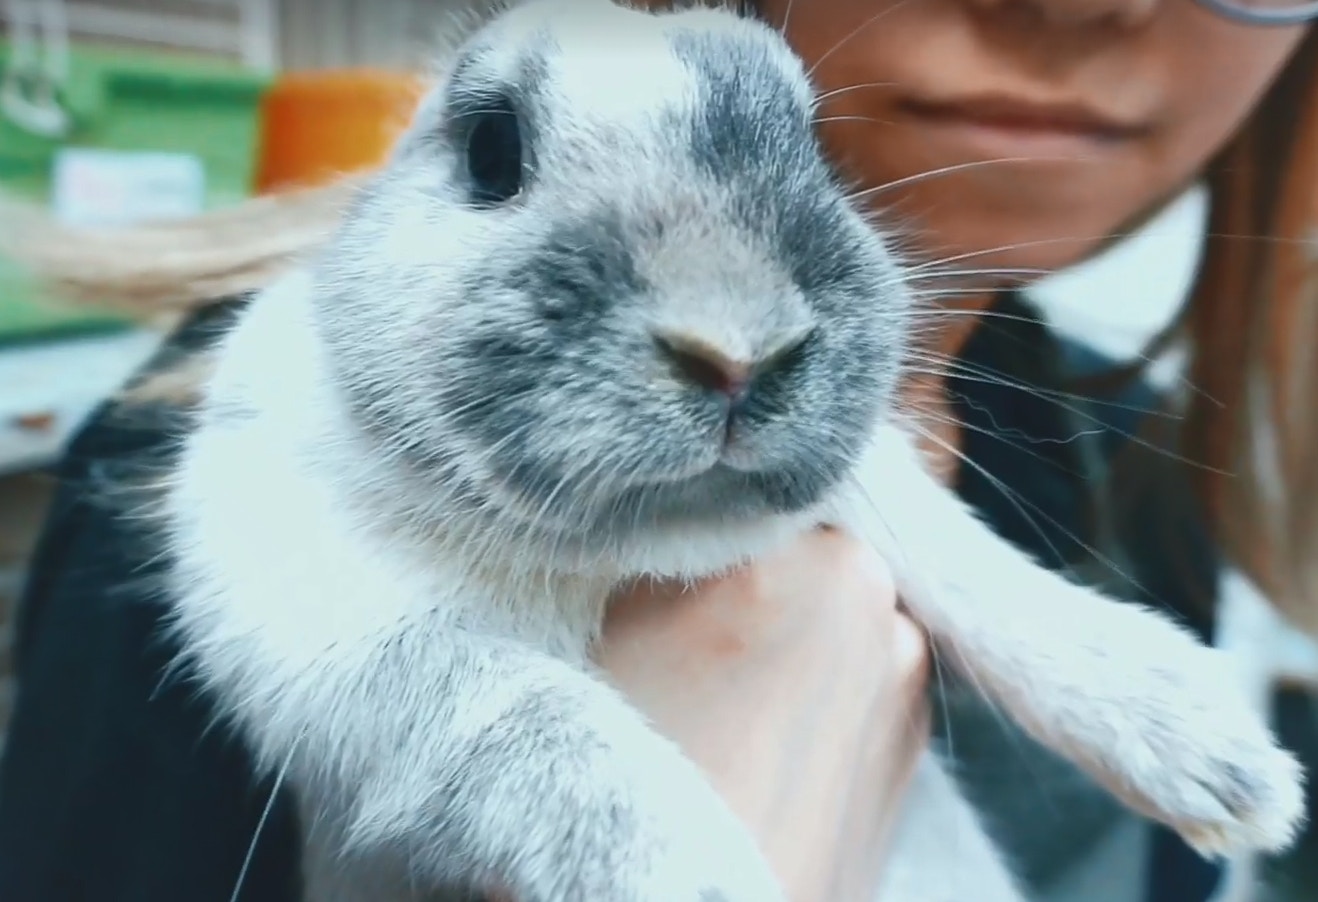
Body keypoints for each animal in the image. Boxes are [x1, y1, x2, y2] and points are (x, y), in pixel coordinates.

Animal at [162, 1, 1307, 902]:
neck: (634, 552)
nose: (737, 350)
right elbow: (528, 716)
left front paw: (1227, 761)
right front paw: (697, 877)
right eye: (491, 148)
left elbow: (978, 574)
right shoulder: (337, 636)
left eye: (812, 148)